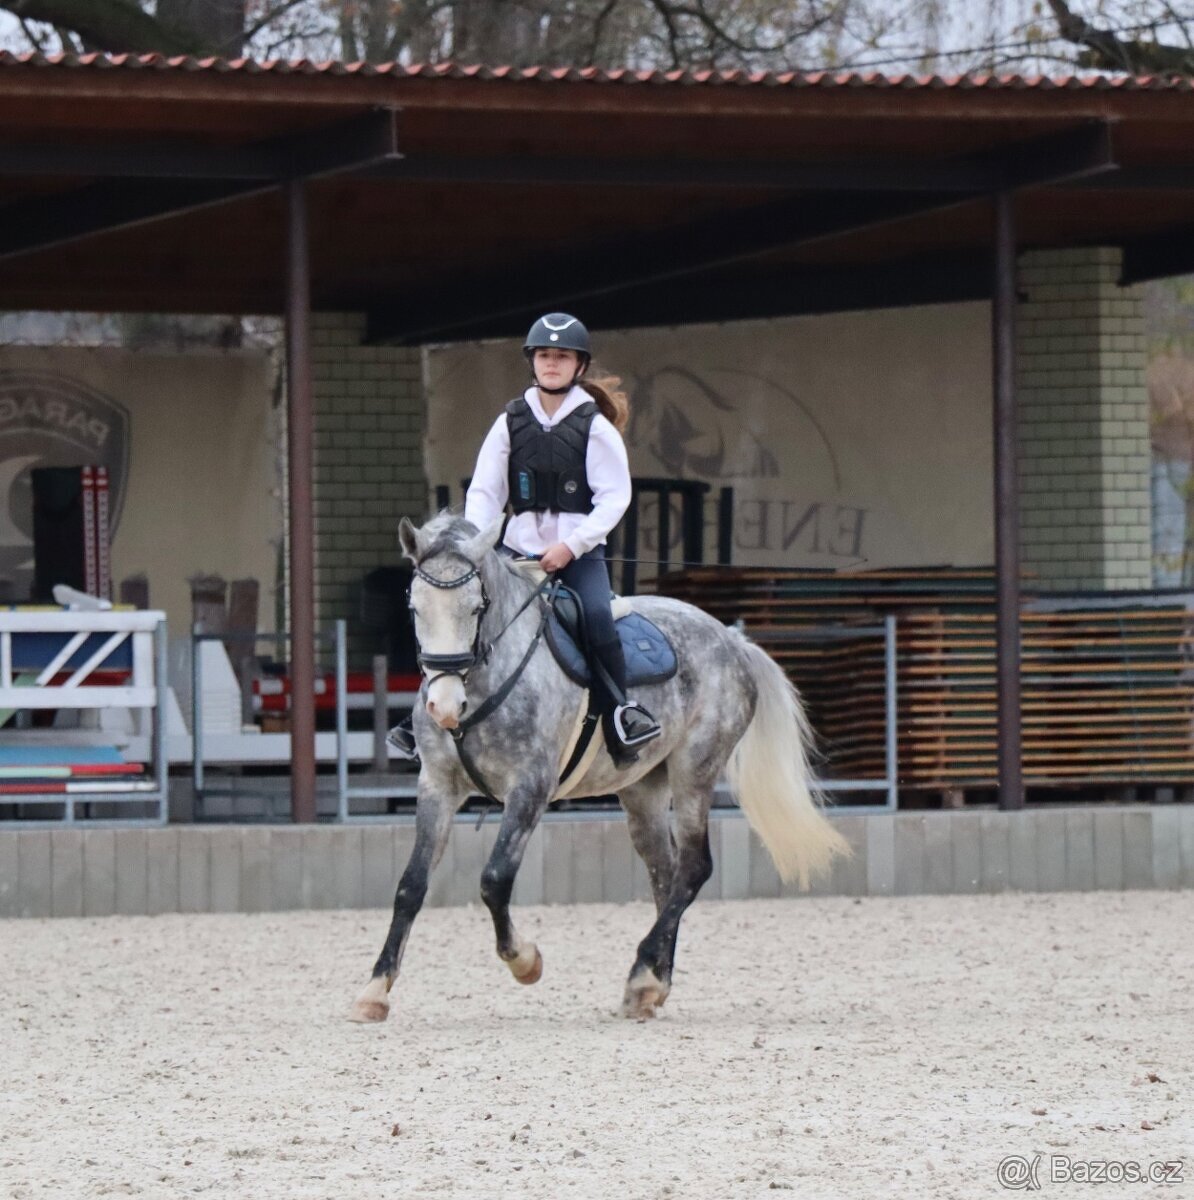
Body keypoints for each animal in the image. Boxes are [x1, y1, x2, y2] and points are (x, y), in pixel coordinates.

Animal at [350, 512, 848, 1023]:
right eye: (415, 609)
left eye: (475, 609)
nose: (445, 708)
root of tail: (733, 640)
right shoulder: (437, 786)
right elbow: (411, 885)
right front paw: (375, 991)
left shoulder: (530, 788)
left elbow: (494, 880)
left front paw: (525, 962)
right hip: (643, 788)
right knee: (665, 871)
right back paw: (651, 985)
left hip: (695, 770)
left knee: (693, 868)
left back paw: (643, 974)